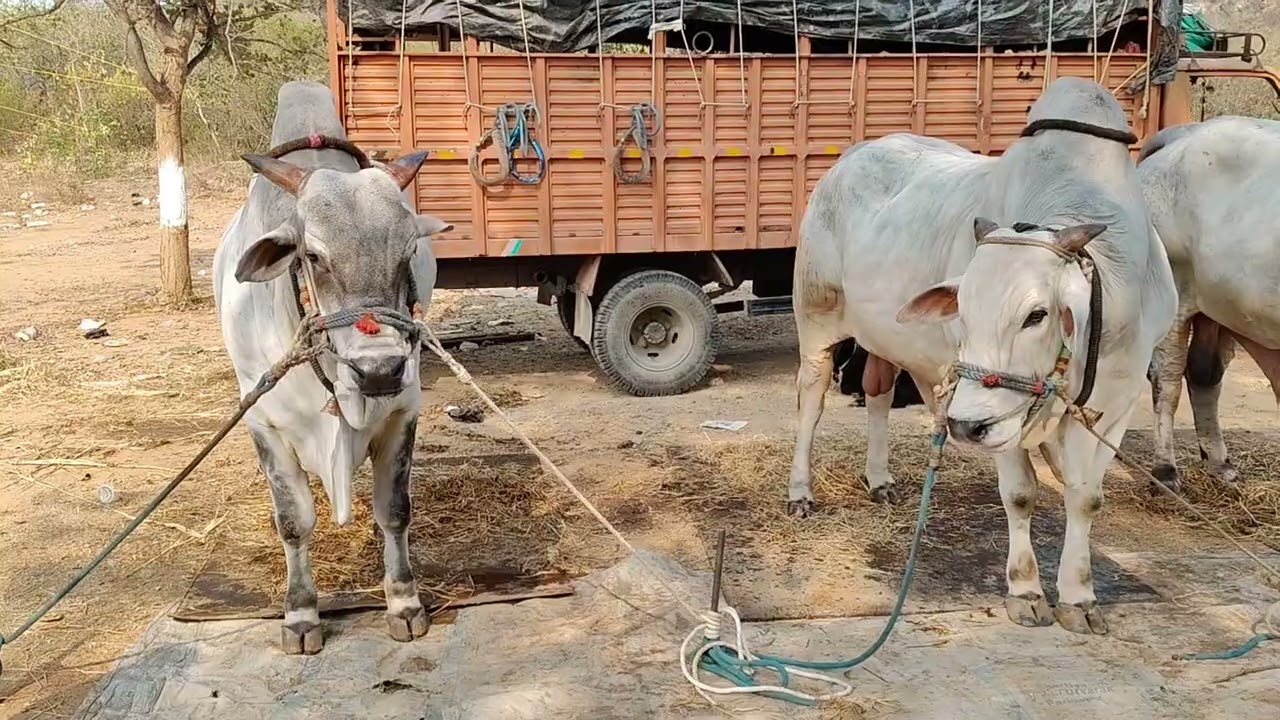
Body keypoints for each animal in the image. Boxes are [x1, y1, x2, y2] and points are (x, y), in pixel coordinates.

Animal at [213, 81, 451, 654]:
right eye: (315, 256)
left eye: (409, 251)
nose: (379, 370)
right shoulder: (262, 420)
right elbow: (294, 521)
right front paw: (300, 614)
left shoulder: (405, 409)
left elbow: (394, 509)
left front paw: (404, 603)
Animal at [788, 77, 1177, 634]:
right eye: (965, 308)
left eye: (1036, 314)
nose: (966, 427)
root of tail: (851, 158)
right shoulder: (1000, 417)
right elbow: (1020, 493)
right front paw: (1026, 591)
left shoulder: (1117, 399)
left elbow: (1085, 495)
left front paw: (1079, 597)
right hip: (817, 316)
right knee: (811, 403)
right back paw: (801, 491)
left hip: (888, 338)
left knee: (879, 391)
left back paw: (880, 480)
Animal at [1138, 116, 1280, 491]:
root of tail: (1186, 132)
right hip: (1174, 291)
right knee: (1167, 381)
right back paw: (1165, 471)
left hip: (1221, 308)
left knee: (1204, 374)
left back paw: (1219, 463)